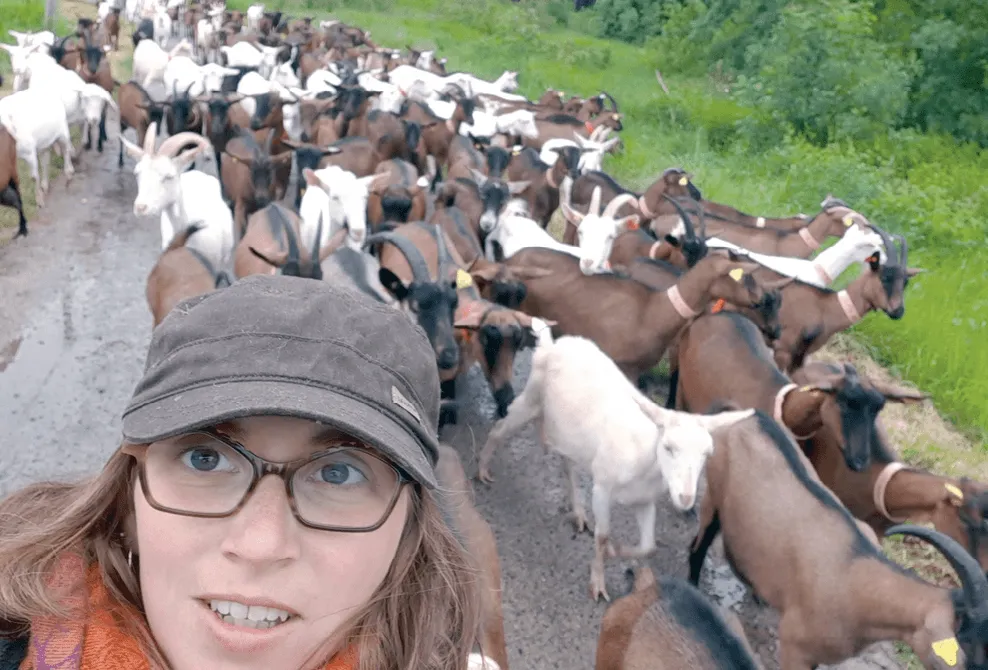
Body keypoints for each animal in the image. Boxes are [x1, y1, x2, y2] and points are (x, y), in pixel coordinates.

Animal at [474, 326, 752, 604]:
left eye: (707, 453)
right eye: (668, 447)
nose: (685, 498)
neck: (644, 458)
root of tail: (552, 344)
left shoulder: (644, 501)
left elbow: (648, 547)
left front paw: (612, 552)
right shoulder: (602, 489)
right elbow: (603, 535)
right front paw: (598, 582)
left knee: (567, 464)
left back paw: (578, 511)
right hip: (532, 397)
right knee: (500, 429)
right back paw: (482, 470)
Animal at [688, 410, 988, 670]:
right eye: (971, 655)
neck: (856, 575)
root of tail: (751, 416)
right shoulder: (794, 646)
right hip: (713, 494)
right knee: (697, 546)